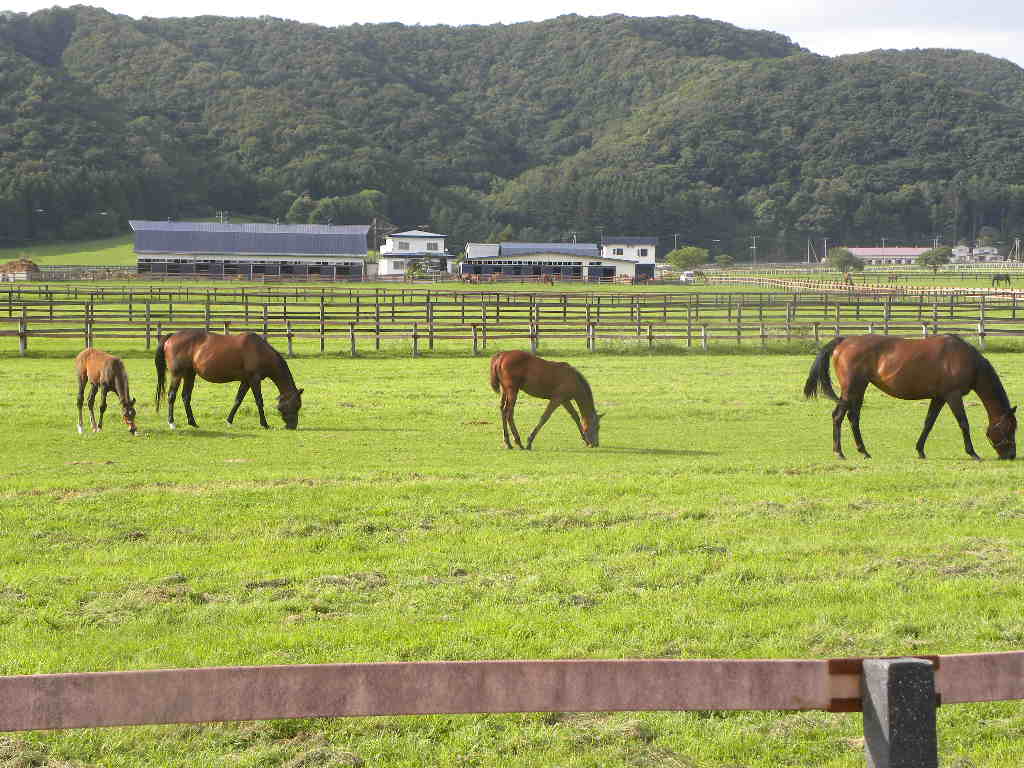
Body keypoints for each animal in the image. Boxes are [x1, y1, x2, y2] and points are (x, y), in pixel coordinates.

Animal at [153, 327, 301, 430]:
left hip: (190, 374)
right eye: (296, 405)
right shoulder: (254, 379)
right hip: (177, 374)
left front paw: (229, 421)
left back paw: (193, 423)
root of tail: (172, 336)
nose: (292, 426)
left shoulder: (246, 381)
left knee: (186, 397)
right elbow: (259, 401)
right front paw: (264, 424)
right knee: (172, 396)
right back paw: (172, 423)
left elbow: (238, 400)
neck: (259, 350)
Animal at [806, 333, 1015, 460]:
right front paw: (972, 453)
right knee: (839, 416)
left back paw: (863, 451)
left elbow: (928, 423)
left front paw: (920, 450)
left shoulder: (939, 397)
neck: (966, 360)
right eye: (1009, 428)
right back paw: (839, 452)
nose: (1011, 455)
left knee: (853, 417)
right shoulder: (953, 396)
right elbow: (963, 423)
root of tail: (844, 340)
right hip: (851, 389)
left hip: (858, 389)